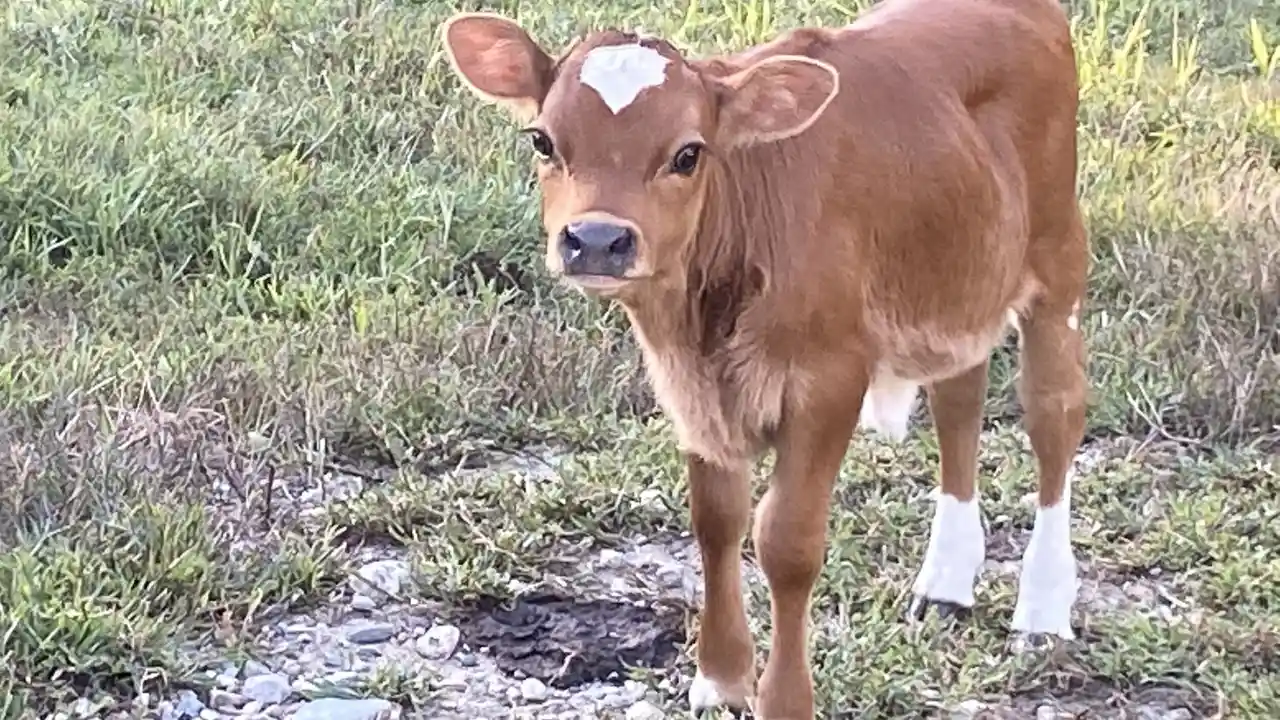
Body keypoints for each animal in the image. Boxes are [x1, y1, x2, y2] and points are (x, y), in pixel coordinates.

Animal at [439, 0, 1088, 715]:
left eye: (688, 154)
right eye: (542, 142)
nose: (599, 239)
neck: (705, 319)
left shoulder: (830, 380)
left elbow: (786, 542)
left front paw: (784, 698)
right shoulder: (690, 384)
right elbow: (716, 521)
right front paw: (721, 678)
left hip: (1058, 258)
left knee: (1054, 417)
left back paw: (1042, 612)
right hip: (958, 278)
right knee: (959, 399)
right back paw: (946, 583)